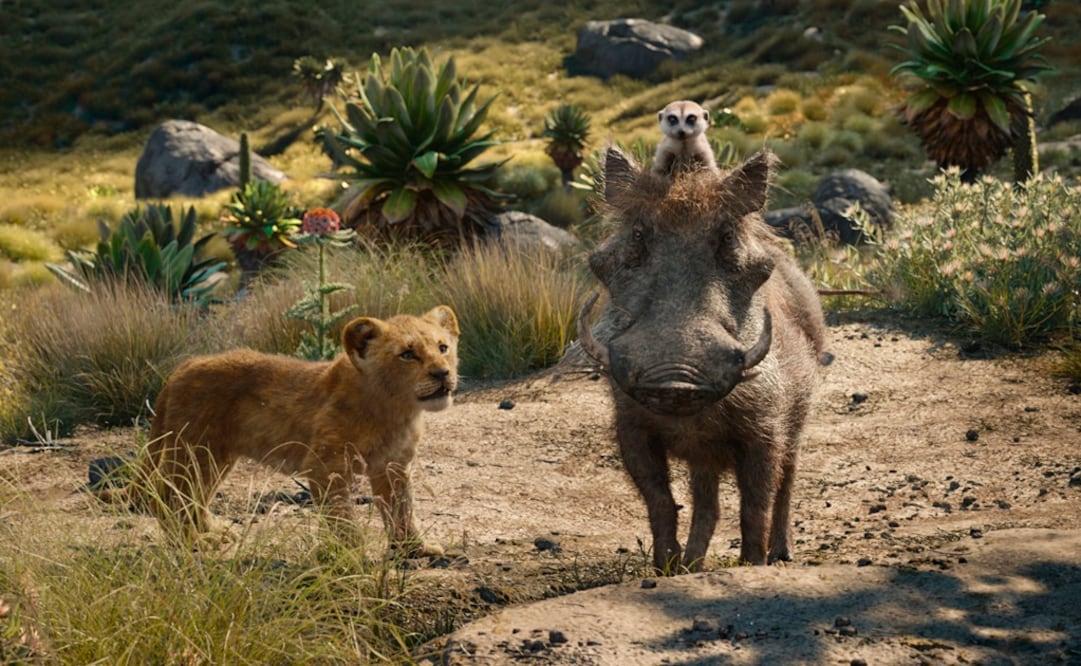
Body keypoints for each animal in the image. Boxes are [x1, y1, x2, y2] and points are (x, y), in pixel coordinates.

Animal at [100, 306, 459, 557]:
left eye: (443, 348)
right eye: (408, 354)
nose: (443, 374)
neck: (396, 410)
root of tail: (180, 369)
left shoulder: (393, 467)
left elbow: (402, 509)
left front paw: (413, 549)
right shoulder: (326, 466)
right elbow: (341, 516)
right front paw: (351, 555)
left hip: (214, 456)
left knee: (194, 497)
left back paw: (213, 532)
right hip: (193, 451)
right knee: (168, 496)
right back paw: (195, 541)